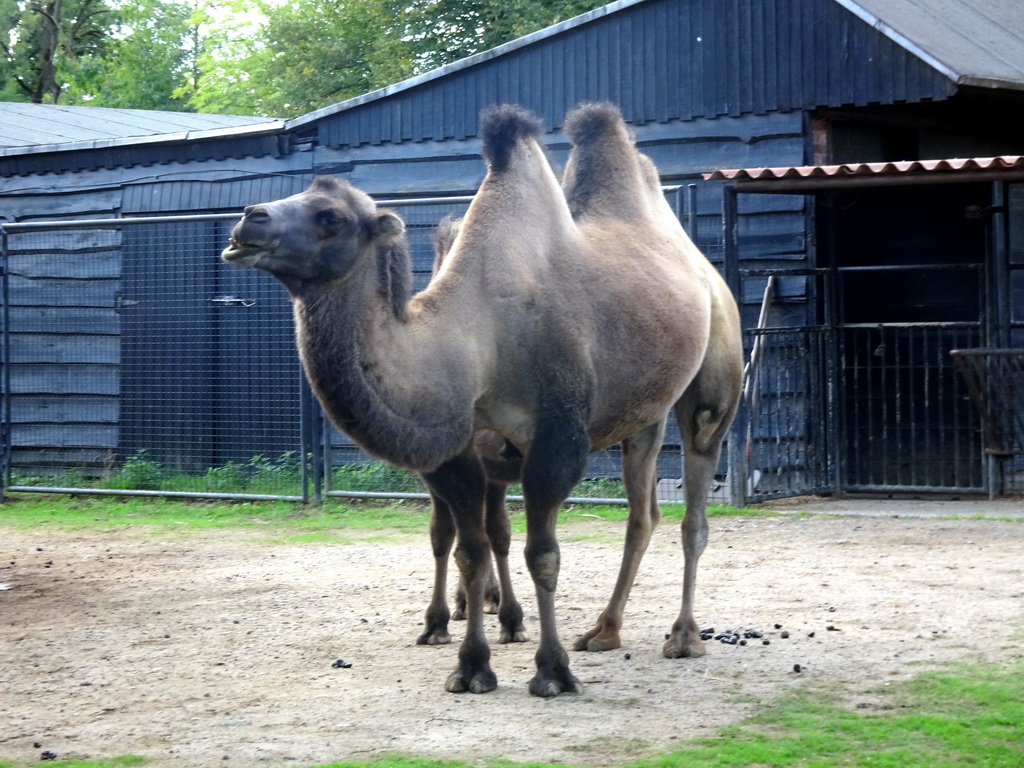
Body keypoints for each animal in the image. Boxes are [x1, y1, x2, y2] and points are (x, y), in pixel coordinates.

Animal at [220, 102, 741, 696]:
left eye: (330, 216)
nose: (249, 218)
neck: (477, 336)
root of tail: (702, 267)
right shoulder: (458, 452)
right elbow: (468, 549)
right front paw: (471, 666)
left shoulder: (557, 436)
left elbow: (543, 554)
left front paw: (552, 670)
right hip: (643, 412)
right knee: (642, 512)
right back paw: (604, 631)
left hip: (715, 380)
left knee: (694, 500)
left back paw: (684, 637)